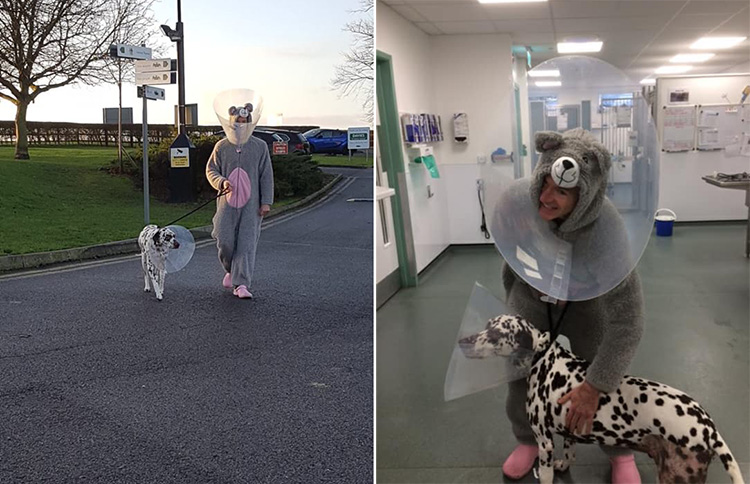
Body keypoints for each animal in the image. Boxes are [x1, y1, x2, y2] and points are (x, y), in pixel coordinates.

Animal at [458, 316, 748, 482]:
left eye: (495, 334)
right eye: (486, 326)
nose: (463, 341)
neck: (543, 359)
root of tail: (709, 428)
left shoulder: (545, 442)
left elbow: (547, 474)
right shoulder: (569, 431)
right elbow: (570, 455)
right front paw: (565, 464)